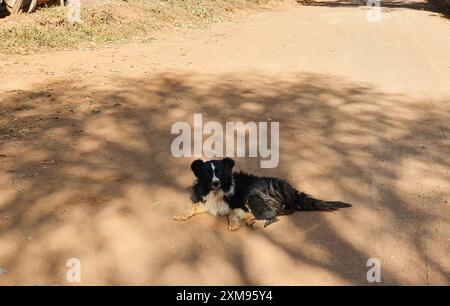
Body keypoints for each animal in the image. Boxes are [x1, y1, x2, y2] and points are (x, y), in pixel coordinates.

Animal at [172, 158, 352, 230]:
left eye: (220, 173)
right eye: (208, 174)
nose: (216, 183)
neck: (217, 192)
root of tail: (291, 190)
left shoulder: (239, 203)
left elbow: (231, 213)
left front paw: (234, 224)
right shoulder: (206, 201)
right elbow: (193, 206)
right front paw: (181, 214)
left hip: (254, 195)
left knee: (274, 215)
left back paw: (256, 223)